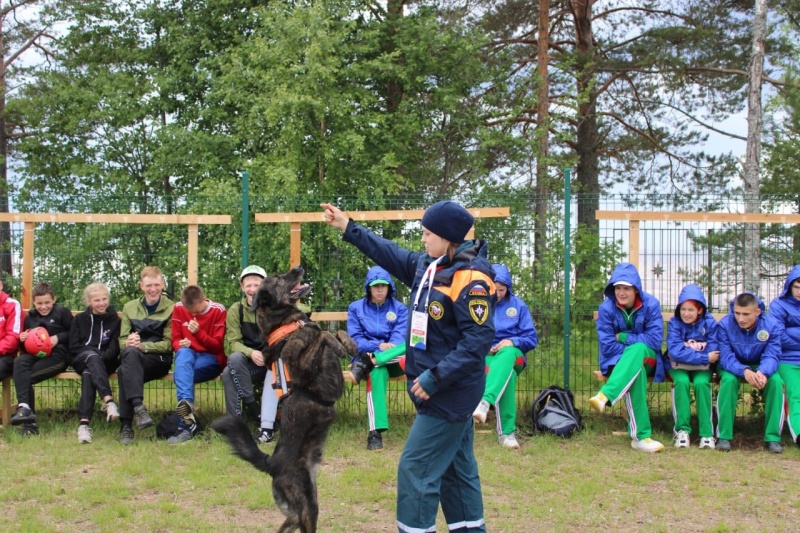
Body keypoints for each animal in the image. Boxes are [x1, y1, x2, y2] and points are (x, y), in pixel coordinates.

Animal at [211, 266, 354, 532]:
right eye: (279, 278)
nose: (298, 267)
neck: (288, 323)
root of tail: (271, 463)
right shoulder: (300, 366)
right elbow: (319, 334)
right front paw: (334, 344)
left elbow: (335, 330)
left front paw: (349, 345)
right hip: (308, 505)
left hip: (302, 506)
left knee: (286, 525)